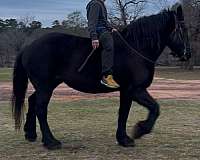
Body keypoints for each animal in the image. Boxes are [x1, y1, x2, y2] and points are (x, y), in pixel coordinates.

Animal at [11, 5, 191, 150]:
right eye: (183, 29)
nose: (187, 54)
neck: (135, 49)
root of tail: (29, 46)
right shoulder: (136, 89)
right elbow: (155, 108)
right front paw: (140, 130)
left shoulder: (126, 91)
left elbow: (123, 113)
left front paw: (124, 139)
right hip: (45, 86)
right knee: (41, 108)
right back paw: (51, 142)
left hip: (47, 85)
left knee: (32, 101)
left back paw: (31, 134)